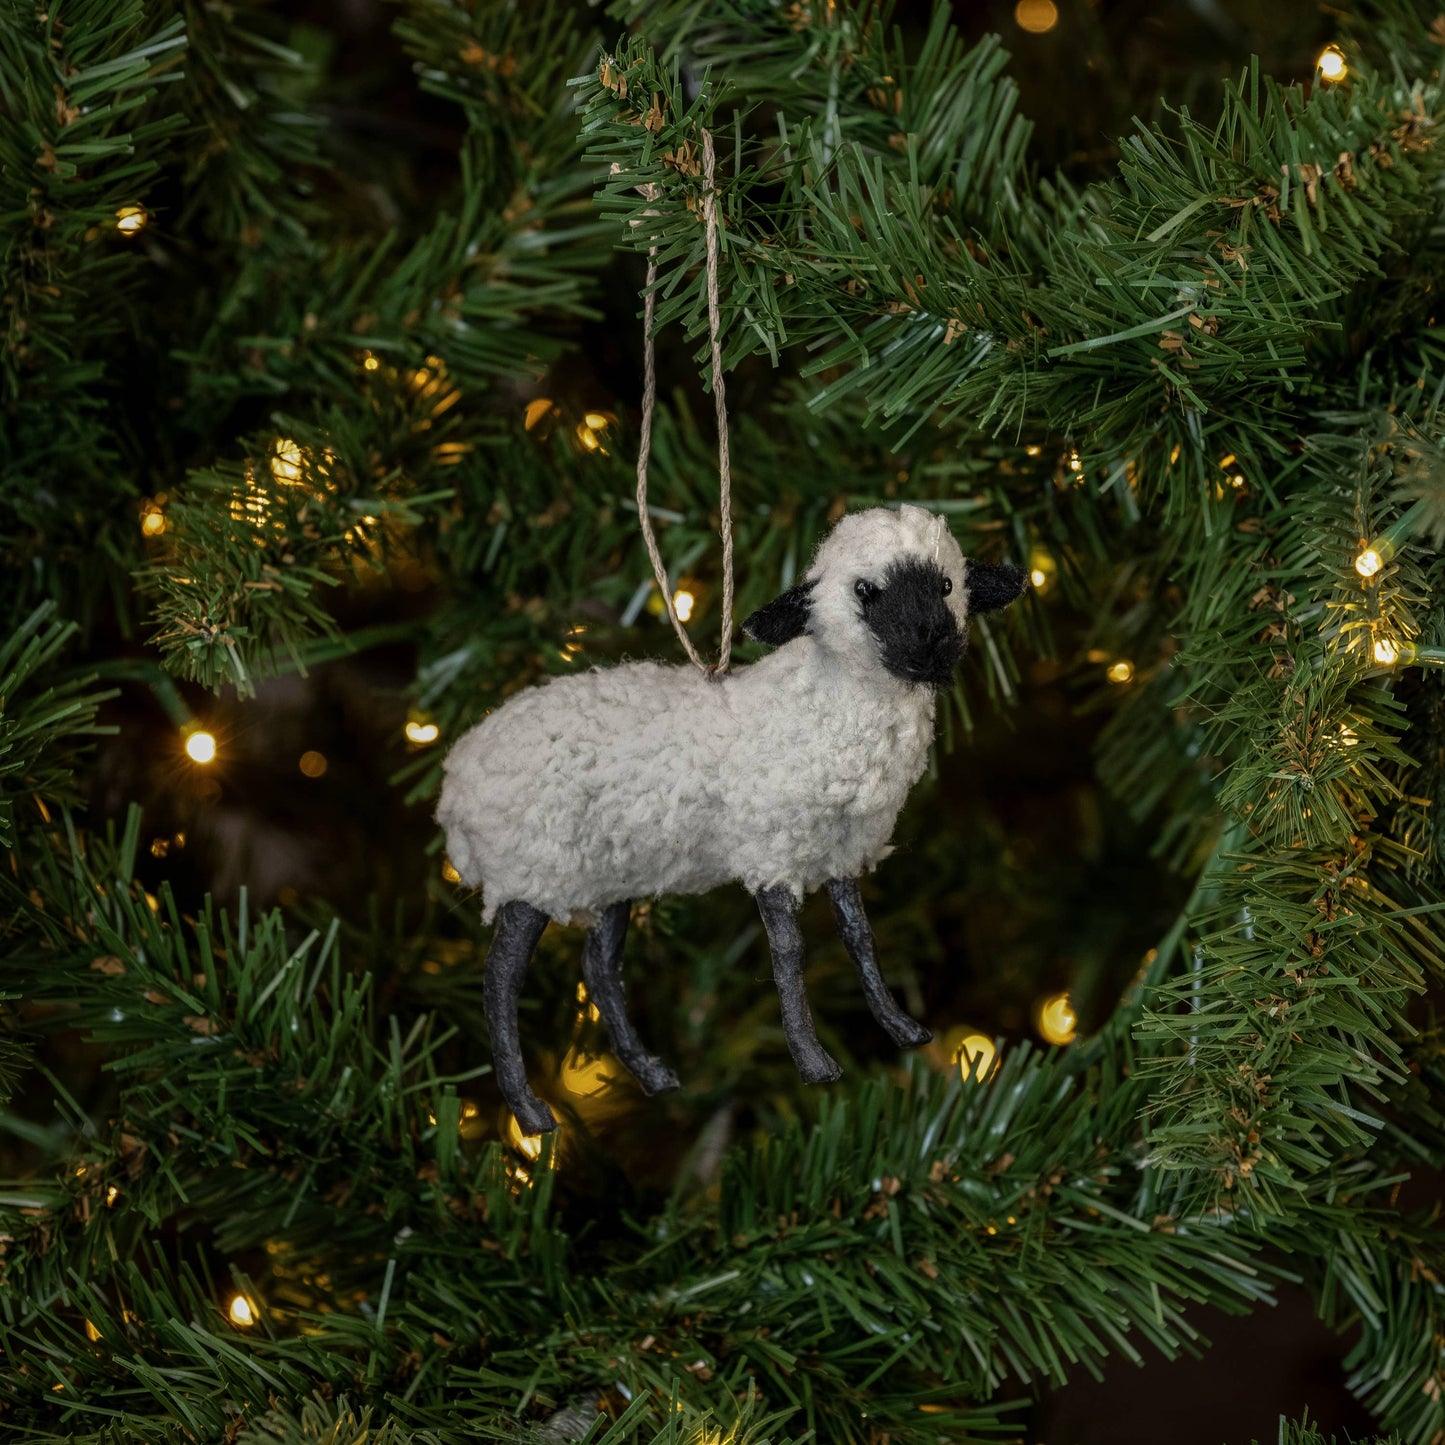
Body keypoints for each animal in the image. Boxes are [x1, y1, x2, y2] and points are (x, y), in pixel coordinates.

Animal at [438, 504, 1028, 1133]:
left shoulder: (840, 850)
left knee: (600, 970)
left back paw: (651, 1074)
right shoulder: (774, 849)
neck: (828, 701)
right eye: (864, 590)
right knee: (501, 980)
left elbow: (860, 938)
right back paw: (530, 1111)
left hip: (611, 871)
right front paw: (814, 1063)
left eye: (947, 585)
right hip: (532, 867)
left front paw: (901, 1027)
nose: (934, 645)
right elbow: (789, 953)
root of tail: (456, 778)